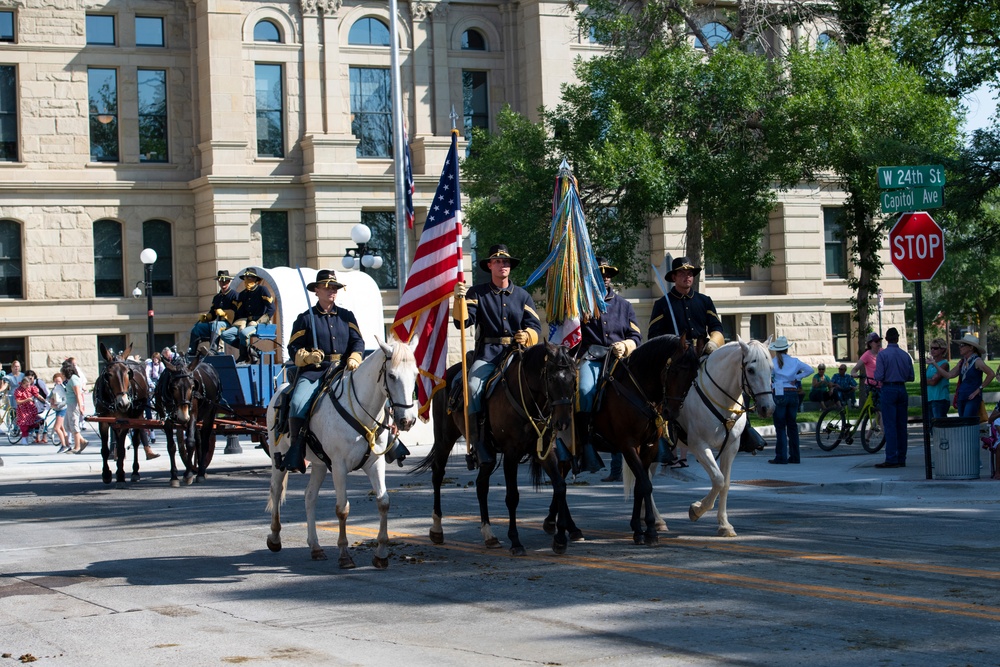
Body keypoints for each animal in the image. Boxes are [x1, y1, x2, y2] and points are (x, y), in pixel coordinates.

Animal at [93, 344, 150, 486]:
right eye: (108, 375)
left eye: (128, 373)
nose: (123, 403)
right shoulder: (102, 420)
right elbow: (105, 449)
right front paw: (106, 474)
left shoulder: (125, 421)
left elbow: (120, 449)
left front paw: (120, 476)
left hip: (138, 416)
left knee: (135, 442)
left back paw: (135, 472)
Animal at [155, 352, 222, 488]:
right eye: (173, 387)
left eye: (192, 386)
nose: (183, 416)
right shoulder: (166, 419)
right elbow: (171, 446)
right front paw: (174, 476)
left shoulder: (192, 414)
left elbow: (190, 442)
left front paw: (188, 474)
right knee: (199, 441)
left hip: (210, 413)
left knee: (205, 442)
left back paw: (200, 472)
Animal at [266, 340, 418, 568]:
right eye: (391, 375)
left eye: (416, 374)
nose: (407, 420)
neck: (363, 412)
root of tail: (280, 389)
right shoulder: (339, 466)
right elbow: (342, 509)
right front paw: (344, 554)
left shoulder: (375, 463)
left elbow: (383, 502)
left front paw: (381, 553)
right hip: (279, 458)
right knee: (276, 490)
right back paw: (275, 538)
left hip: (319, 464)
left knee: (309, 496)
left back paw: (315, 546)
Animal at [414, 342, 580, 556]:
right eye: (551, 378)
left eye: (573, 378)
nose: (563, 422)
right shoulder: (511, 454)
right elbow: (512, 497)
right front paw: (515, 541)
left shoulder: (544, 451)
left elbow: (560, 486)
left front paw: (560, 539)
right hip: (444, 439)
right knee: (437, 475)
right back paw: (437, 529)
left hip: (488, 454)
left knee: (481, 485)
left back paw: (489, 534)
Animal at [624, 340, 780, 536]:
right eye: (750, 370)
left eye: (771, 367)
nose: (768, 408)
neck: (721, 399)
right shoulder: (699, 446)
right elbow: (718, 479)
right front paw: (696, 510)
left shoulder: (731, 447)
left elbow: (725, 483)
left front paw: (724, 525)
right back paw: (656, 519)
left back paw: (654, 519)